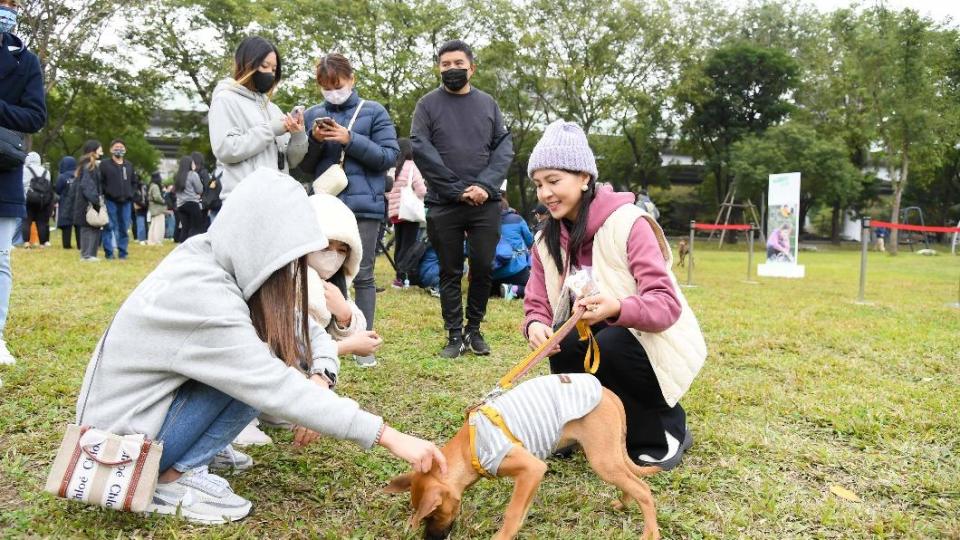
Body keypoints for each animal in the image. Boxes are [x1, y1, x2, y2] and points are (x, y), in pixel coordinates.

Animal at [384, 376, 660, 540]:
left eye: (432, 515)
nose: (429, 538)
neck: (468, 450)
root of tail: (609, 394)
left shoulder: (530, 468)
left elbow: (513, 512)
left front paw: (502, 536)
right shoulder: (532, 477)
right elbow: (521, 510)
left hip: (602, 459)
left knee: (643, 490)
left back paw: (650, 533)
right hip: (611, 456)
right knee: (632, 481)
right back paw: (623, 503)